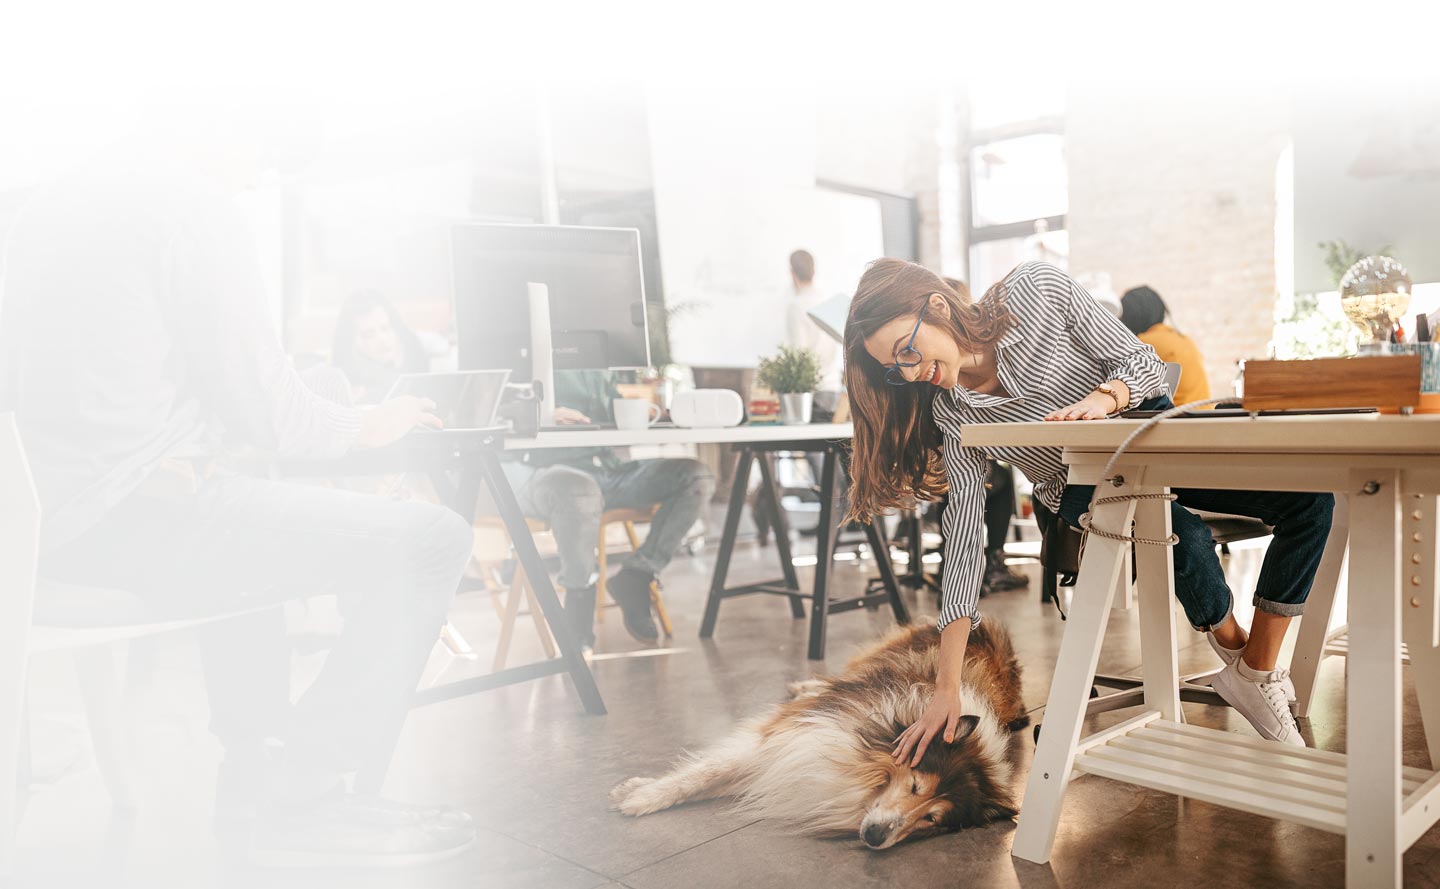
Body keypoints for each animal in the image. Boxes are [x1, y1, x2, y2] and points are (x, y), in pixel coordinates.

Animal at [613, 619, 1031, 847]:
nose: (876, 837)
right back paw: (804, 685)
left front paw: (637, 793)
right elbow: (703, 774)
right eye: (914, 786)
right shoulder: (790, 735)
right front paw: (639, 796)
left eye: (932, 819)